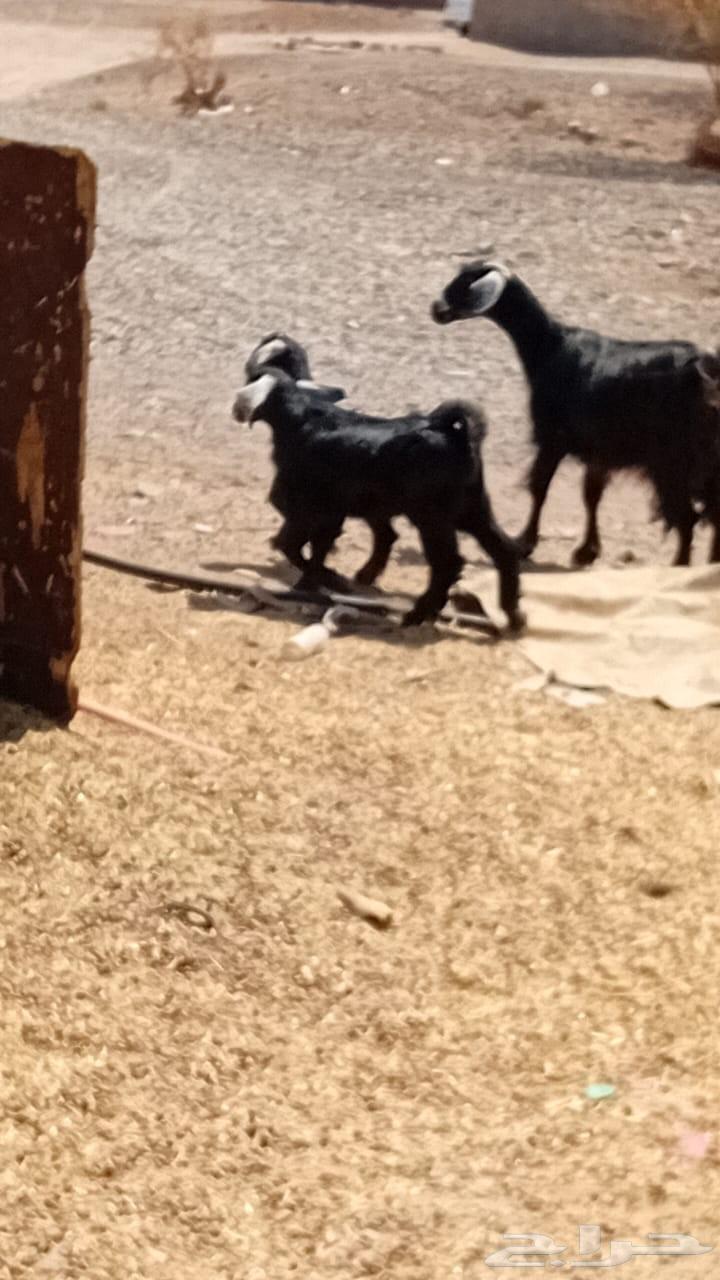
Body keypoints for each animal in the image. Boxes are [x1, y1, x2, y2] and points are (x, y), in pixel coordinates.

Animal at [232, 369, 524, 630]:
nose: (235, 408)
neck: (302, 421)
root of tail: (455, 435)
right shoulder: (330, 514)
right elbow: (315, 547)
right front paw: (314, 583)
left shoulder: (307, 509)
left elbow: (290, 544)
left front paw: (330, 580)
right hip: (471, 510)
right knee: (503, 550)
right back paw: (513, 616)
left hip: (432, 518)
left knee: (448, 563)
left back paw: (417, 614)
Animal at [432, 260, 720, 567]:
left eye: (466, 284)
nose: (436, 309)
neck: (550, 346)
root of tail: (706, 374)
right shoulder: (599, 450)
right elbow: (591, 494)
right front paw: (586, 551)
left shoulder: (553, 438)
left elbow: (539, 487)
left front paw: (525, 543)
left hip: (674, 463)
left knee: (688, 518)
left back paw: (680, 565)